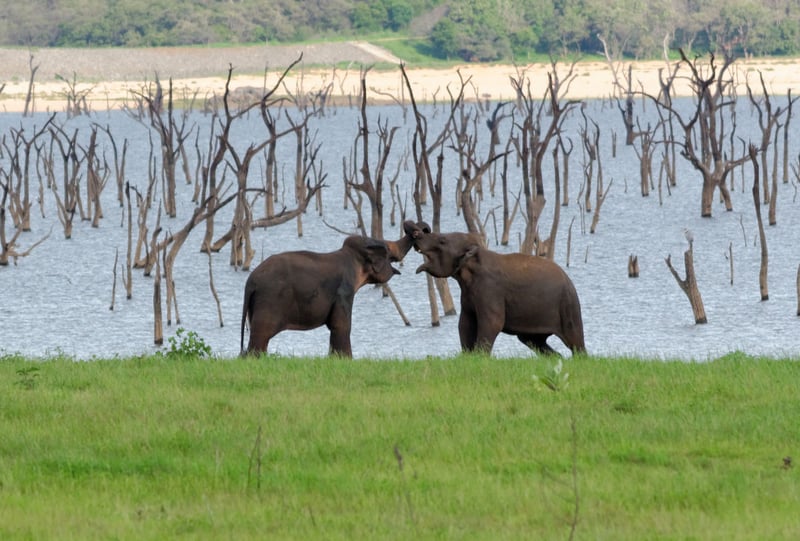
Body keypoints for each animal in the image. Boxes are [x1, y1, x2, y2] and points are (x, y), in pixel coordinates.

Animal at [239, 227, 418, 356]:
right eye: (387, 251)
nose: (415, 231)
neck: (350, 255)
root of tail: (250, 281)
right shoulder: (344, 291)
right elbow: (341, 325)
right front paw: (345, 360)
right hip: (269, 301)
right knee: (260, 336)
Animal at [404, 219, 584, 354]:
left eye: (442, 240)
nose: (418, 231)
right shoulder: (468, 295)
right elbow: (465, 323)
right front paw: (468, 357)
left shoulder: (490, 290)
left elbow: (492, 322)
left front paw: (479, 357)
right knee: (533, 341)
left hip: (568, 306)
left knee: (575, 342)